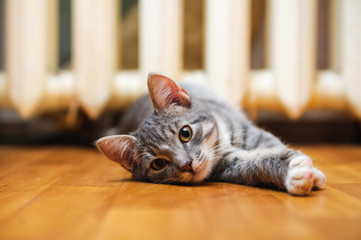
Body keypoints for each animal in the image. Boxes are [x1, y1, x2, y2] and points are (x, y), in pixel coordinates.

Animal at [95, 74, 324, 196]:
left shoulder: (253, 133)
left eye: (185, 133)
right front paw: (295, 173)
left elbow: (273, 147)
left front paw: (311, 172)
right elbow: (258, 163)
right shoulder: (231, 164)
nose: (187, 165)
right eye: (158, 164)